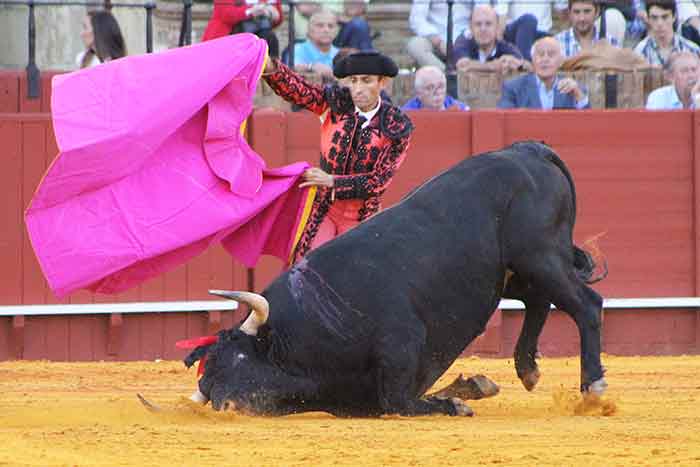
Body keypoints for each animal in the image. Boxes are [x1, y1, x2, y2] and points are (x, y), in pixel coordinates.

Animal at [186, 142, 608, 416]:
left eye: (240, 357)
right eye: (208, 381)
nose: (226, 406)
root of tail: (527, 151)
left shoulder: (400, 347)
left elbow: (399, 403)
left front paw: (456, 402)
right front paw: (471, 387)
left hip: (540, 257)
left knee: (586, 305)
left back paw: (593, 389)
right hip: (515, 272)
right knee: (539, 301)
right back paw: (528, 370)